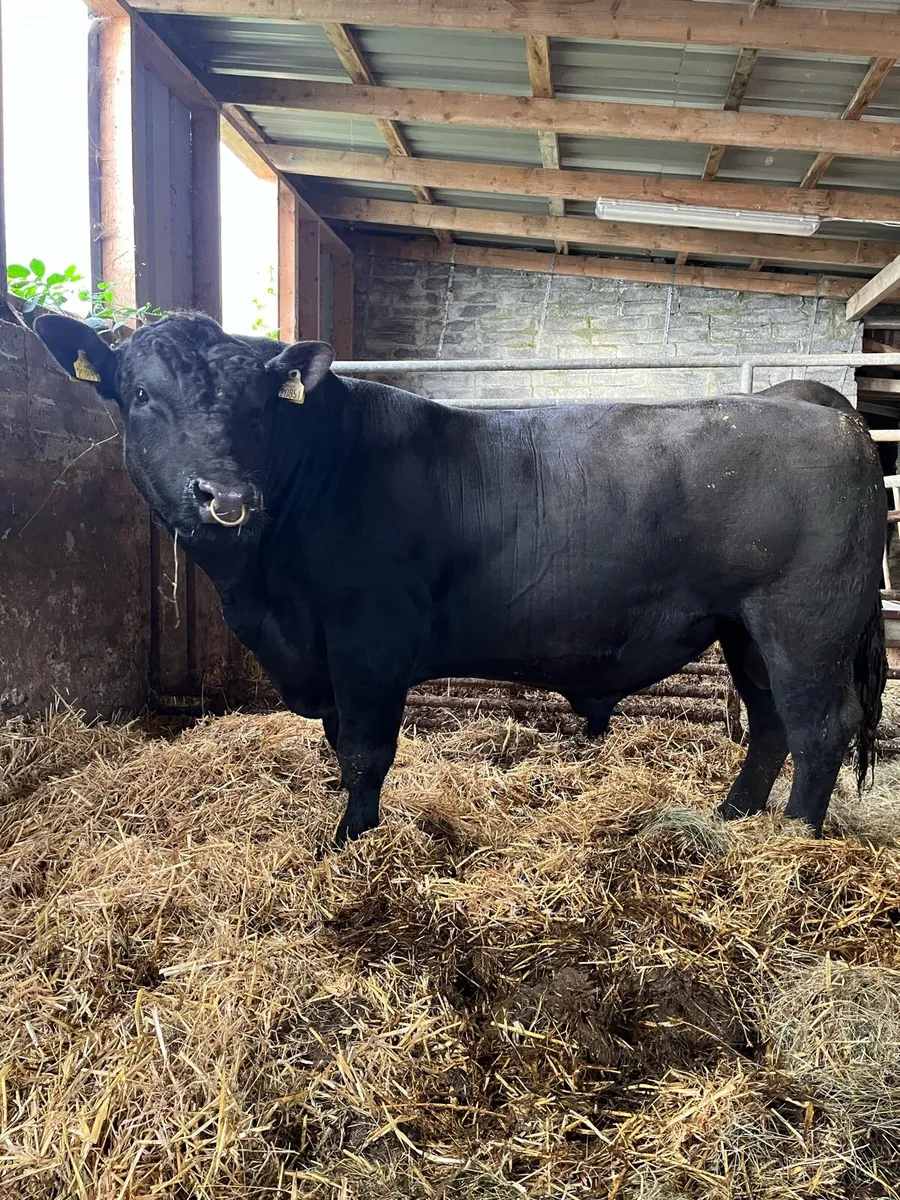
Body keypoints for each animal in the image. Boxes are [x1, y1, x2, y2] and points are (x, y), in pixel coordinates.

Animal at [34, 312, 886, 844]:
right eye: (141, 394)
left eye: (257, 405)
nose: (227, 497)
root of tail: (813, 402)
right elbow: (342, 745)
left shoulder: (369, 643)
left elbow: (365, 751)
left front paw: (348, 846)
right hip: (746, 631)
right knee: (770, 725)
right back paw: (732, 820)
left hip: (804, 625)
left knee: (819, 728)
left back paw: (793, 841)